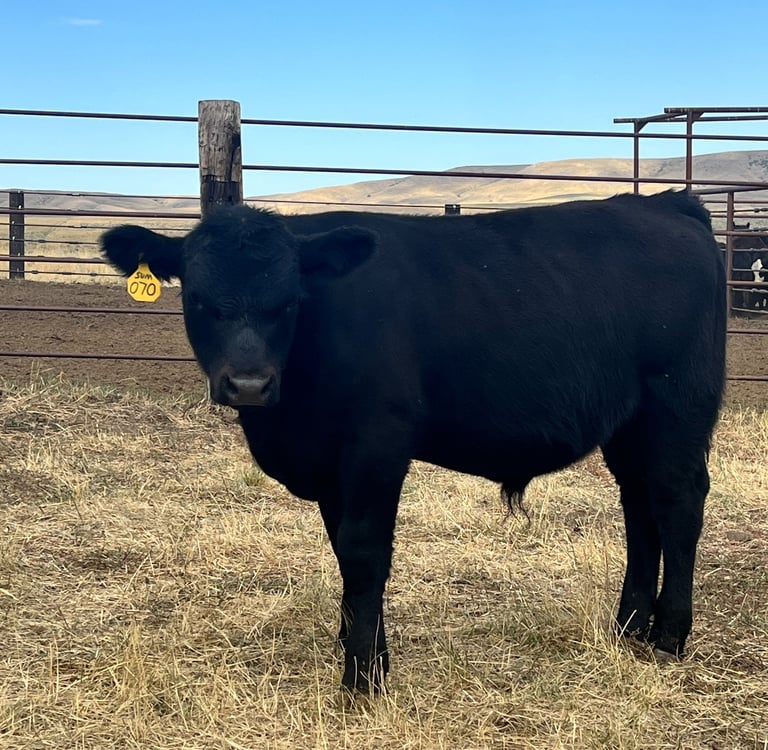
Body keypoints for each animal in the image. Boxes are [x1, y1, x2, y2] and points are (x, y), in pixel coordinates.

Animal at [100, 190, 726, 693]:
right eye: (198, 299)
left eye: (289, 300)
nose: (250, 384)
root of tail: (664, 204)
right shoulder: (331, 467)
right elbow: (343, 553)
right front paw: (361, 647)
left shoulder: (376, 447)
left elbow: (365, 553)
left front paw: (362, 677)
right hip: (630, 426)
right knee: (640, 509)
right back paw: (629, 628)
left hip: (677, 407)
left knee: (678, 504)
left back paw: (669, 636)